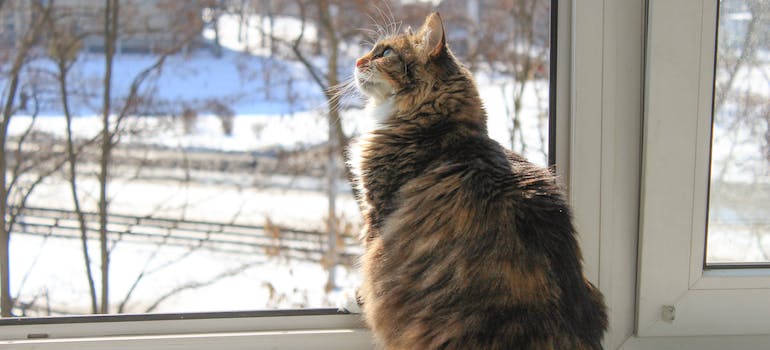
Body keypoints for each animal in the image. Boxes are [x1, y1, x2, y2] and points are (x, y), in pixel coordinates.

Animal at [348, 12, 608, 350]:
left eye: (385, 52)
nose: (357, 61)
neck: (439, 125)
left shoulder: (378, 207)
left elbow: (367, 261)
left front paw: (355, 299)